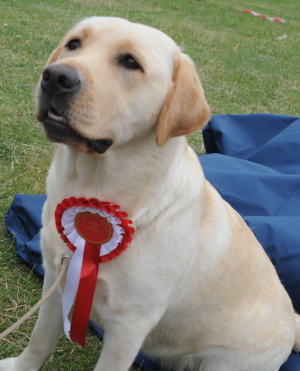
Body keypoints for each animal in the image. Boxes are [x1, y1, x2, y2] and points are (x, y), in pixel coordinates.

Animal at [1, 16, 298, 371]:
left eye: (130, 62)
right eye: (74, 44)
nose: (55, 77)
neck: (95, 187)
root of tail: (293, 320)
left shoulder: (129, 324)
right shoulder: (56, 281)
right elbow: (40, 340)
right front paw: (20, 366)